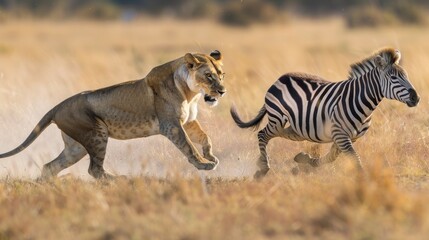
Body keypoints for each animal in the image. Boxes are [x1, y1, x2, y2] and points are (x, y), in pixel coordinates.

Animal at [231, 47, 418, 178]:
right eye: (394, 78)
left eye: (407, 76)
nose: (416, 98)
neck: (362, 102)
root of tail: (280, 78)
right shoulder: (340, 134)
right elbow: (355, 160)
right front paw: (364, 183)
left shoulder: (348, 137)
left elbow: (332, 157)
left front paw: (307, 160)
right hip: (277, 118)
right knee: (262, 134)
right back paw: (263, 168)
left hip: (298, 129)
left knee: (277, 133)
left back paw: (262, 161)